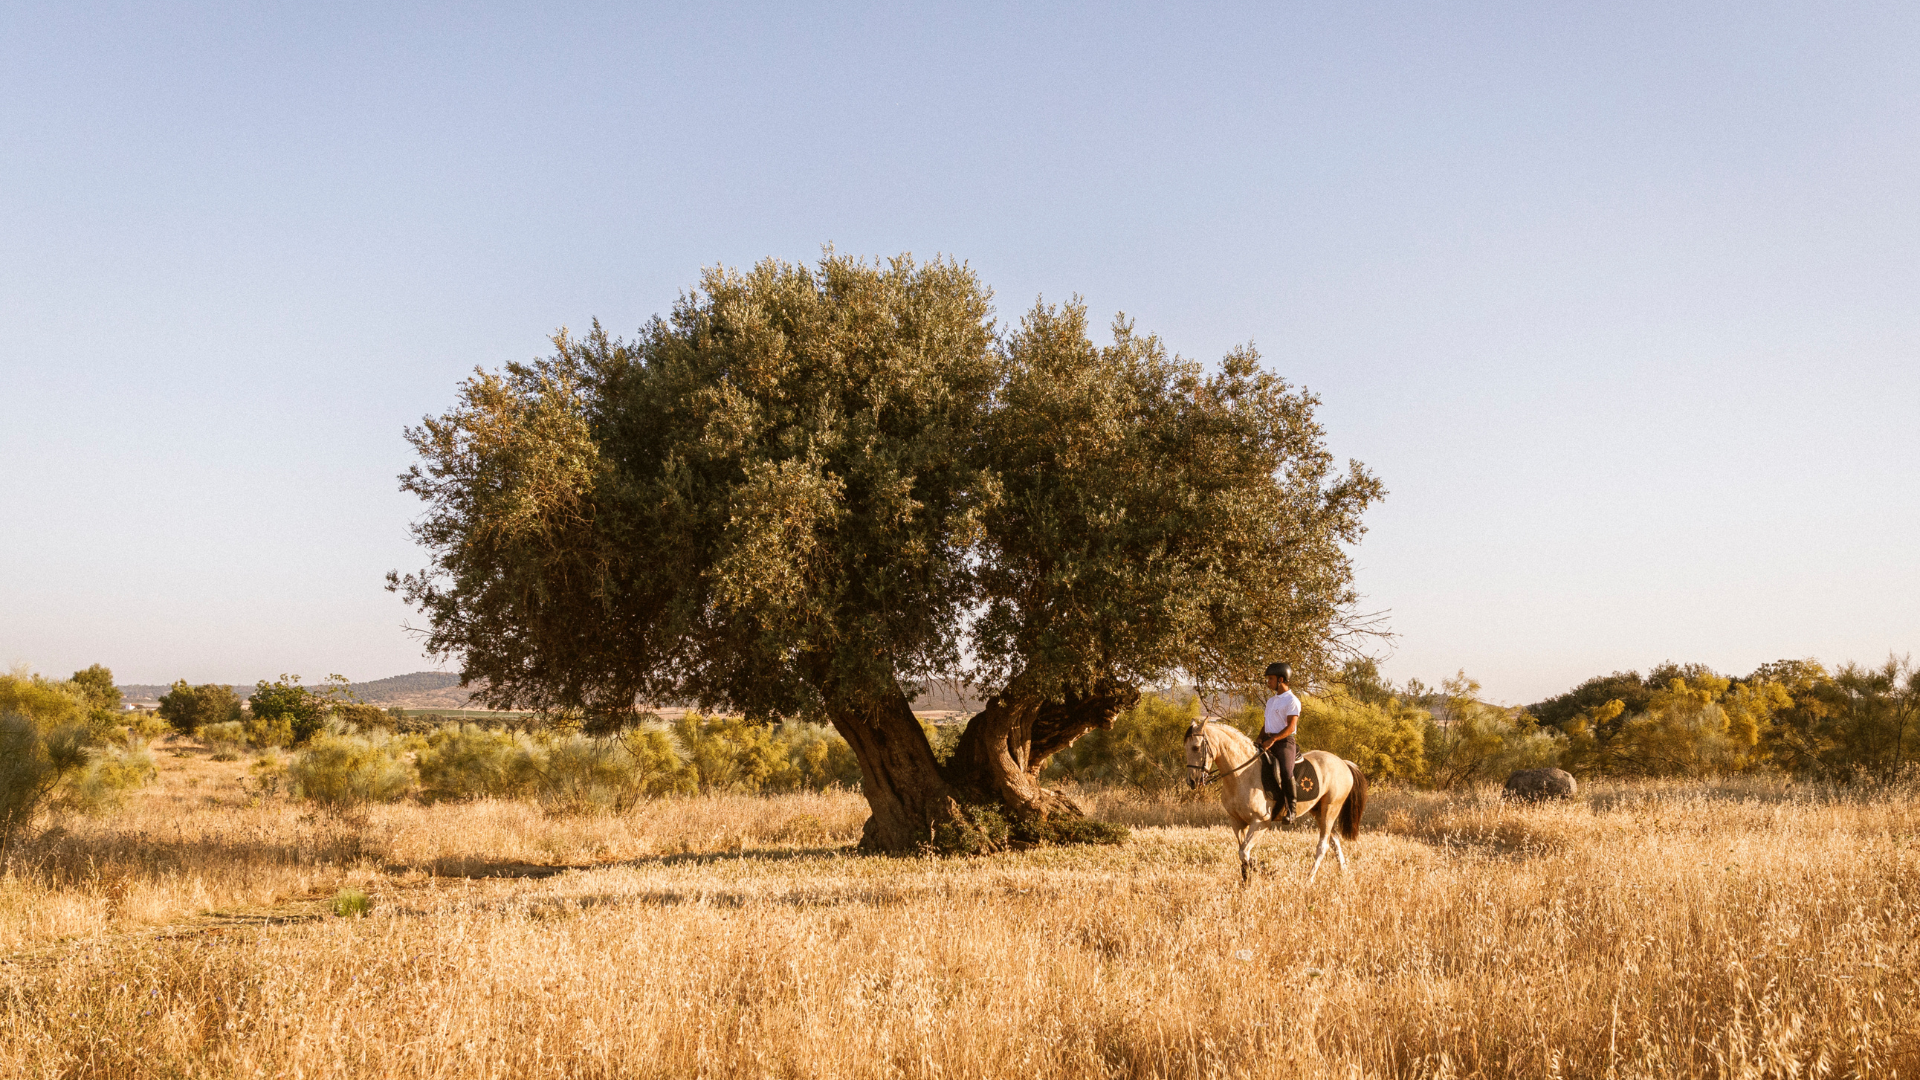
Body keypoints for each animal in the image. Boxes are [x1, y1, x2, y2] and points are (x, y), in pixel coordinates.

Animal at [1182, 718, 1367, 880]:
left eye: (1196, 747)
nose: (1192, 781)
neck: (1241, 773)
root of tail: (1342, 763)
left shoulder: (1260, 822)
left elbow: (1244, 852)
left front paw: (1266, 872)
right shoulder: (1237, 821)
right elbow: (1243, 854)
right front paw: (1246, 884)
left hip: (1331, 808)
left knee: (1323, 845)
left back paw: (1309, 879)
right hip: (1319, 811)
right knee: (1334, 839)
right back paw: (1343, 873)